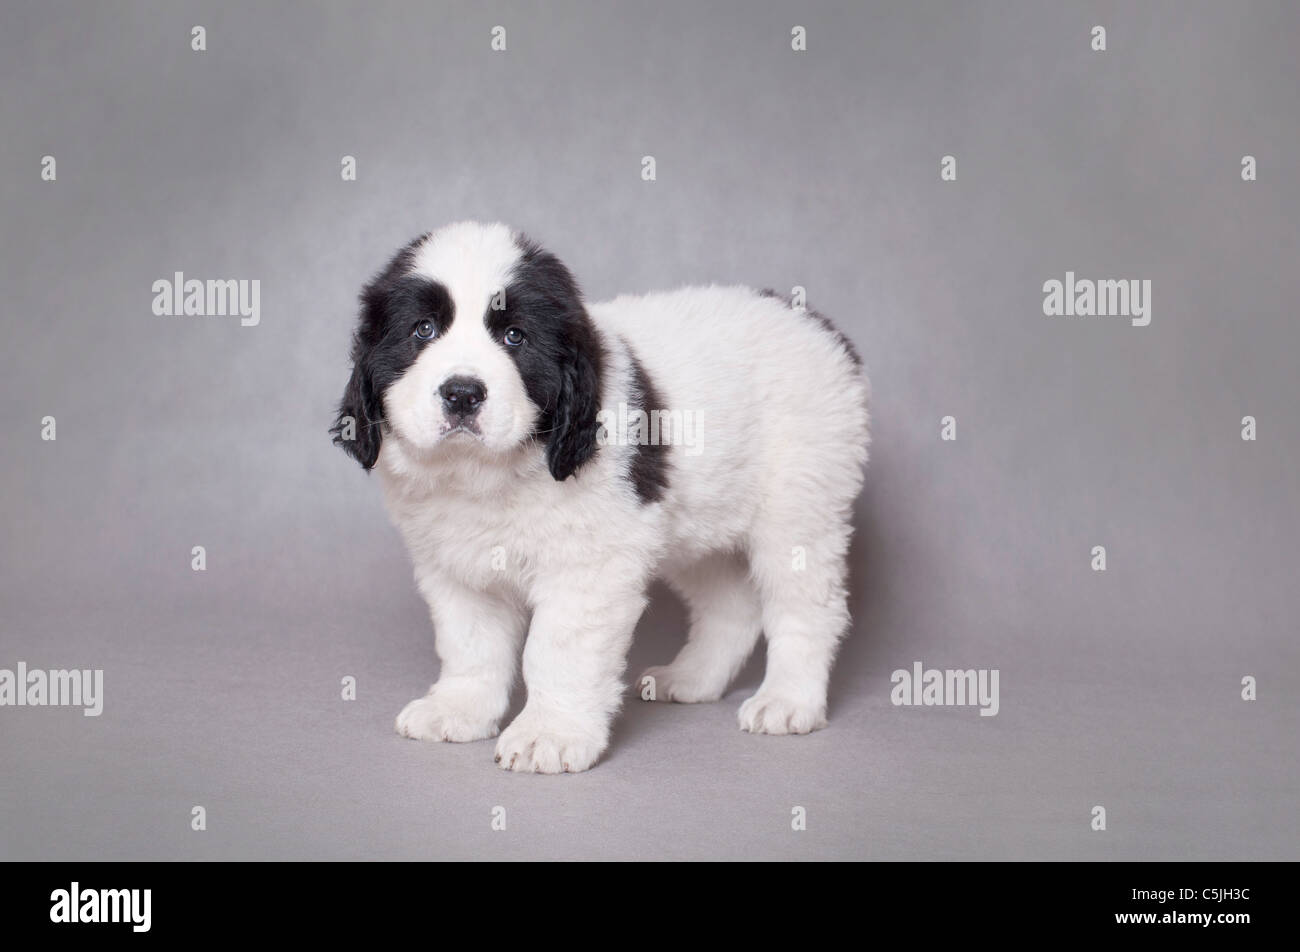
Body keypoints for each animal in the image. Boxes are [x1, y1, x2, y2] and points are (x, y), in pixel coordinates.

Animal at [330, 221, 868, 775]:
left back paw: (788, 700)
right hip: (700, 520)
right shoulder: (457, 565)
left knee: (806, 604)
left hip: (800, 500)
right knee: (732, 604)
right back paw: (693, 678)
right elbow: (470, 641)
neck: (484, 474)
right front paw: (458, 710)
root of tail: (818, 326)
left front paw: (549, 733)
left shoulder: (590, 565)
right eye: (423, 331)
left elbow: (558, 649)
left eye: (514, 336)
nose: (462, 393)